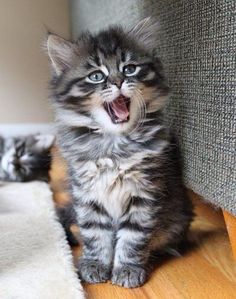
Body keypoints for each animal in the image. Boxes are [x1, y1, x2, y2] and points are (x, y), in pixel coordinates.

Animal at [46, 18, 194, 288]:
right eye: (96, 76)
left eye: (130, 69)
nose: (117, 82)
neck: (113, 145)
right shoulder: (88, 194)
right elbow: (95, 234)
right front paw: (95, 265)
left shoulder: (144, 193)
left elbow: (133, 238)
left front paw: (127, 269)